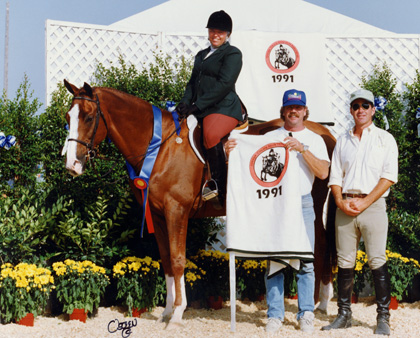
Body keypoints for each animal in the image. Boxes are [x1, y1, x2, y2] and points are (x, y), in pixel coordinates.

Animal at [62, 81, 336, 328]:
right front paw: (167, 312)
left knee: (320, 243)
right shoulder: (158, 215)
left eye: (88, 117)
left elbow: (178, 260)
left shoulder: (176, 211)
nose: (72, 165)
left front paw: (177, 314)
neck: (160, 147)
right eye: (68, 117)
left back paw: (317, 303)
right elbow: (166, 260)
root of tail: (326, 134)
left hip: (313, 203)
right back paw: (321, 302)